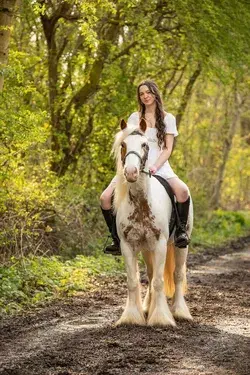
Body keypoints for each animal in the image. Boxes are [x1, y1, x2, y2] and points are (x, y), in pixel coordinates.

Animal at [113, 118, 193, 326]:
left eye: (145, 145)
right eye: (123, 145)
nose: (131, 172)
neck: (142, 203)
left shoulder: (160, 244)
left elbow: (159, 281)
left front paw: (161, 318)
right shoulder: (128, 245)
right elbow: (133, 281)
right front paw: (132, 317)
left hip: (180, 245)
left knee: (177, 275)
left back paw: (180, 311)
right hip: (146, 248)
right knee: (149, 274)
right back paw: (148, 307)